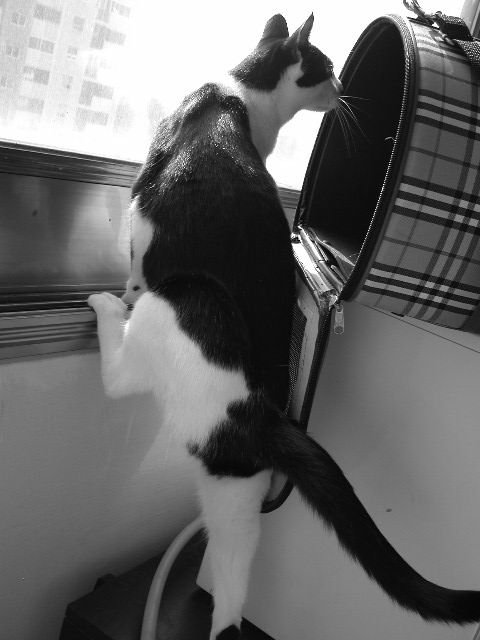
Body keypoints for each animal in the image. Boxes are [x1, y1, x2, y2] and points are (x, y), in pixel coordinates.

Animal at [88, 13, 480, 640]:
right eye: (327, 65)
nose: (343, 86)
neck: (243, 97)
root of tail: (261, 414)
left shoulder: (148, 202)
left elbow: (139, 244)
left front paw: (124, 283)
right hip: (235, 496)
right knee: (230, 591)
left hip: (188, 298)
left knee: (122, 375)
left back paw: (107, 308)